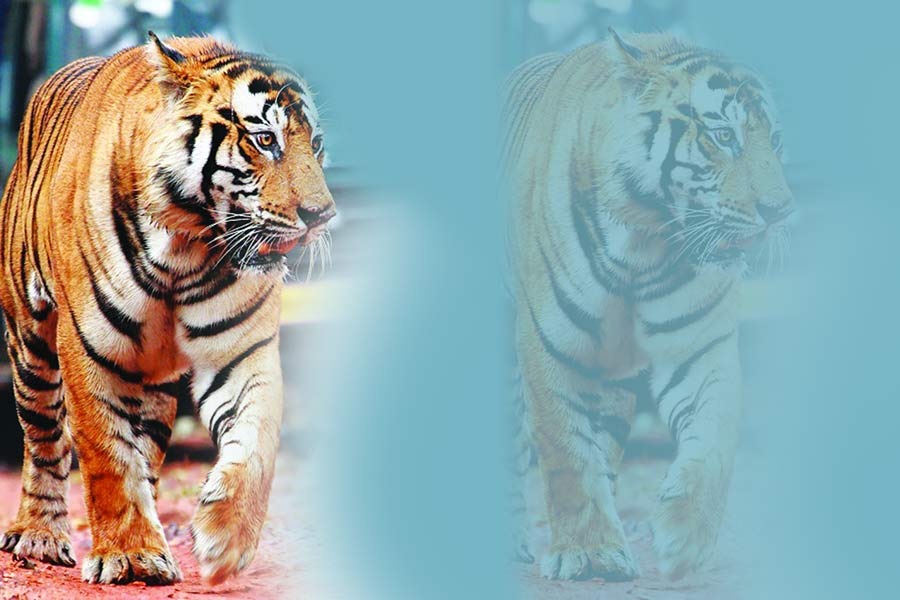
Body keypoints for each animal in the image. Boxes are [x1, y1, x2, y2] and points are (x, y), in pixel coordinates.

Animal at [0, 33, 335, 585]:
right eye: (265, 140)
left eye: (318, 144)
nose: (323, 215)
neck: (186, 246)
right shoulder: (89, 348)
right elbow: (106, 454)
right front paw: (128, 554)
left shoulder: (243, 352)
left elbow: (257, 443)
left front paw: (225, 540)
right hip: (31, 343)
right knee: (45, 439)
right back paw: (39, 535)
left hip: (152, 383)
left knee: (147, 450)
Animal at [505, 30, 792, 581]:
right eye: (723, 136)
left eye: (777, 141)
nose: (781, 210)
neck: (645, 244)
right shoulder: (550, 345)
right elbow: (565, 449)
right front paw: (586, 551)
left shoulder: (701, 347)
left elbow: (716, 438)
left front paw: (685, 538)